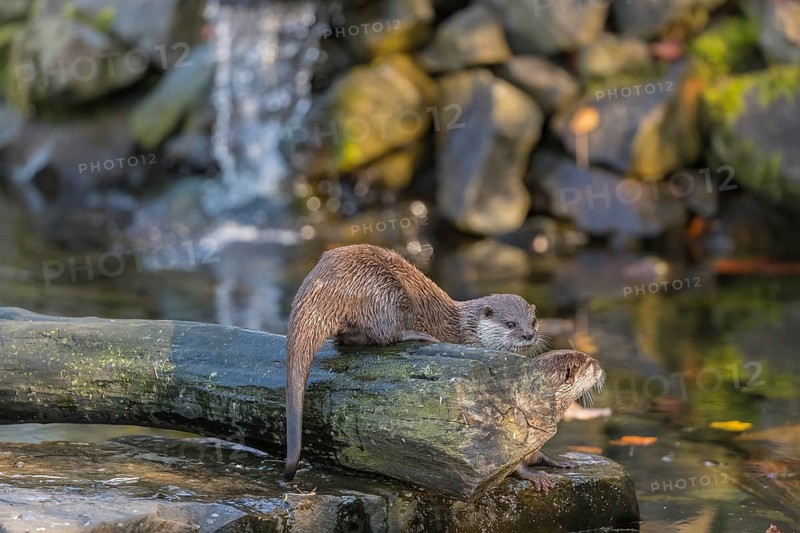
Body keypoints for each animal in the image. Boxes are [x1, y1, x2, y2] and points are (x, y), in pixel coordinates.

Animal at [284, 244, 543, 481]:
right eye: (510, 324)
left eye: (533, 321)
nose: (528, 335)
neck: (466, 331)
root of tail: (324, 282)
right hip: (383, 293)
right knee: (384, 332)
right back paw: (417, 335)